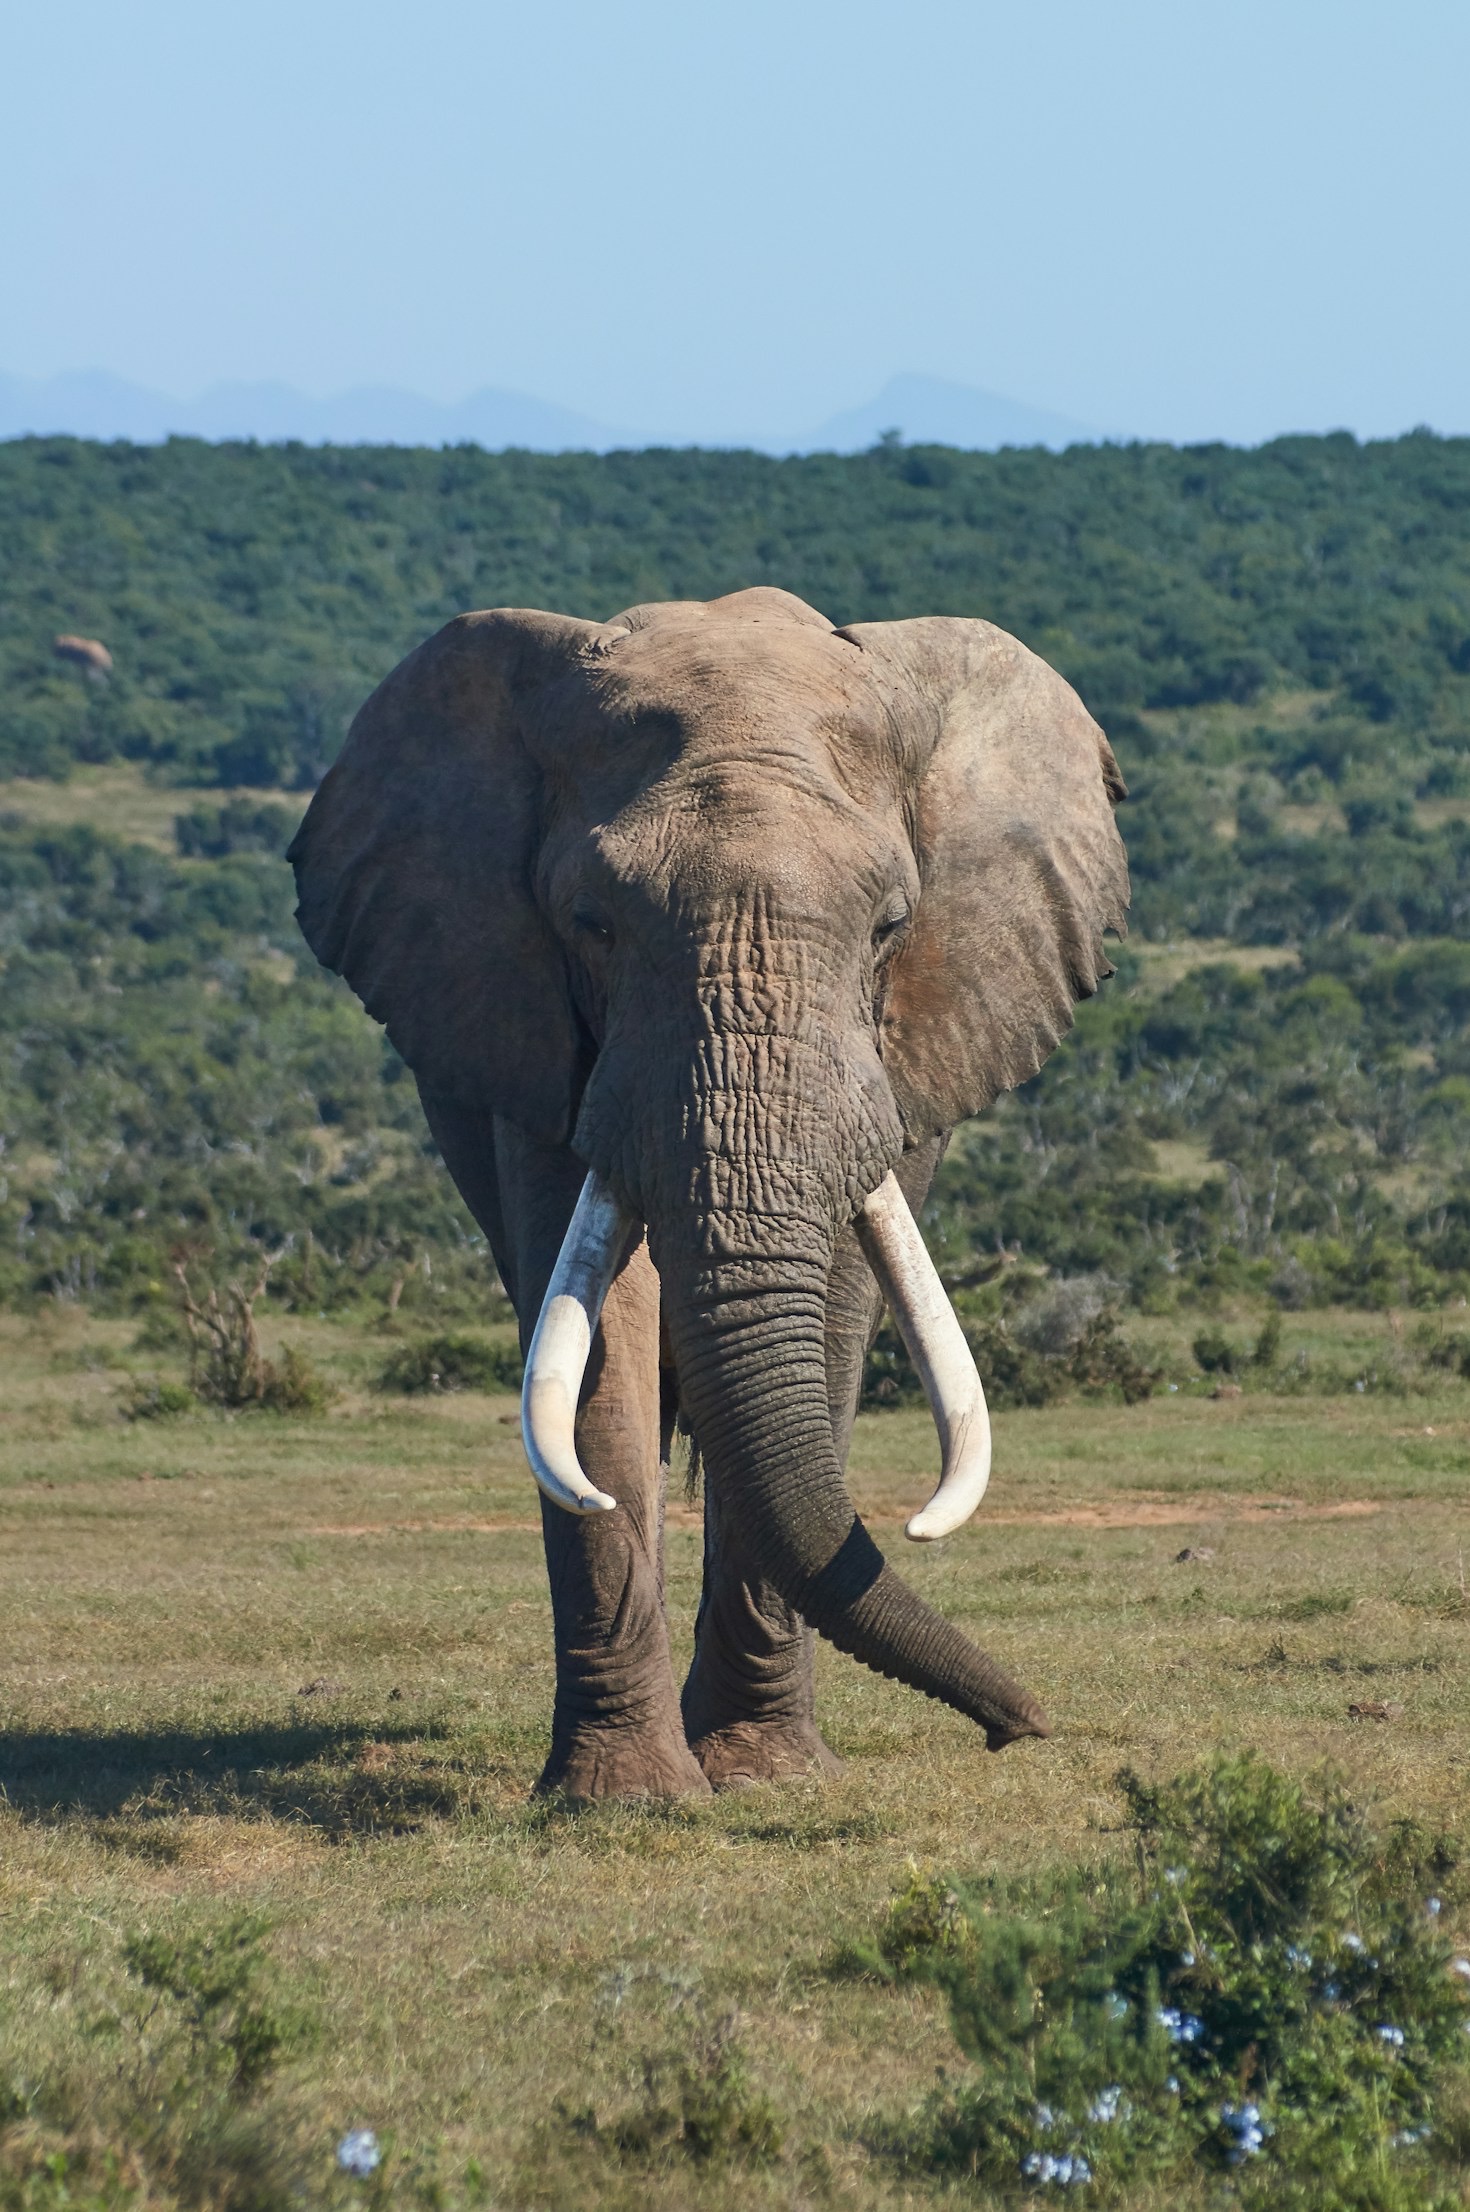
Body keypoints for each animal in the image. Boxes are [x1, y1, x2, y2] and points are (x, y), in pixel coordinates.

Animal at [288, 587, 1128, 1801]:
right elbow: (602, 1332)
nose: (1022, 1726)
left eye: (889, 924)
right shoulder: (539, 1037)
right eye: (591, 923)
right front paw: (623, 1799)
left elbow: (835, 1308)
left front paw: (768, 1780)